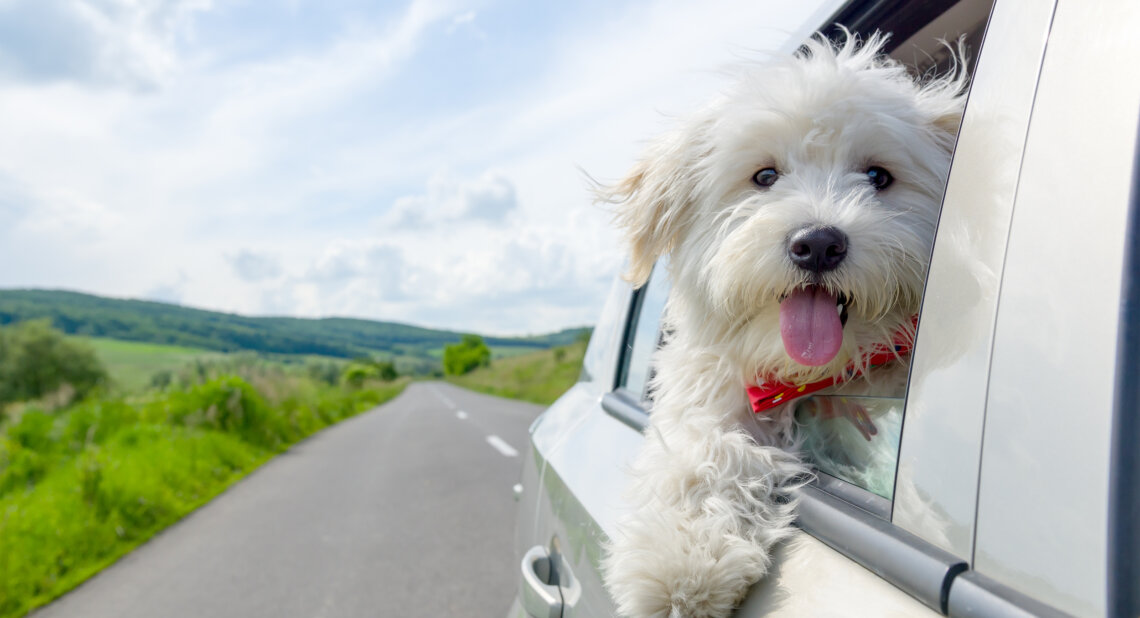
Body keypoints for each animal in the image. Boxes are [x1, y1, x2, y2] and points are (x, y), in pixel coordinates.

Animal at [601, 35, 966, 618]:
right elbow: (704, 448)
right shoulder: (710, 386)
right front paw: (680, 562)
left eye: (878, 177)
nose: (817, 243)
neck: (811, 374)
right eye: (765, 176)